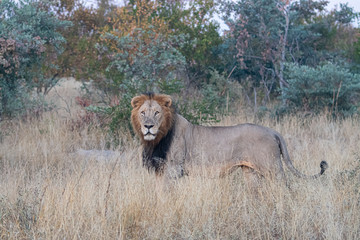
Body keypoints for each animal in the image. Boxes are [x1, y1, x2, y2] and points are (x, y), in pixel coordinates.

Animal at [131, 93, 328, 183]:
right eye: (143, 113)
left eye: (157, 113)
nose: (148, 126)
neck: (156, 140)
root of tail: (272, 131)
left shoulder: (172, 170)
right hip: (251, 173)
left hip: (272, 168)